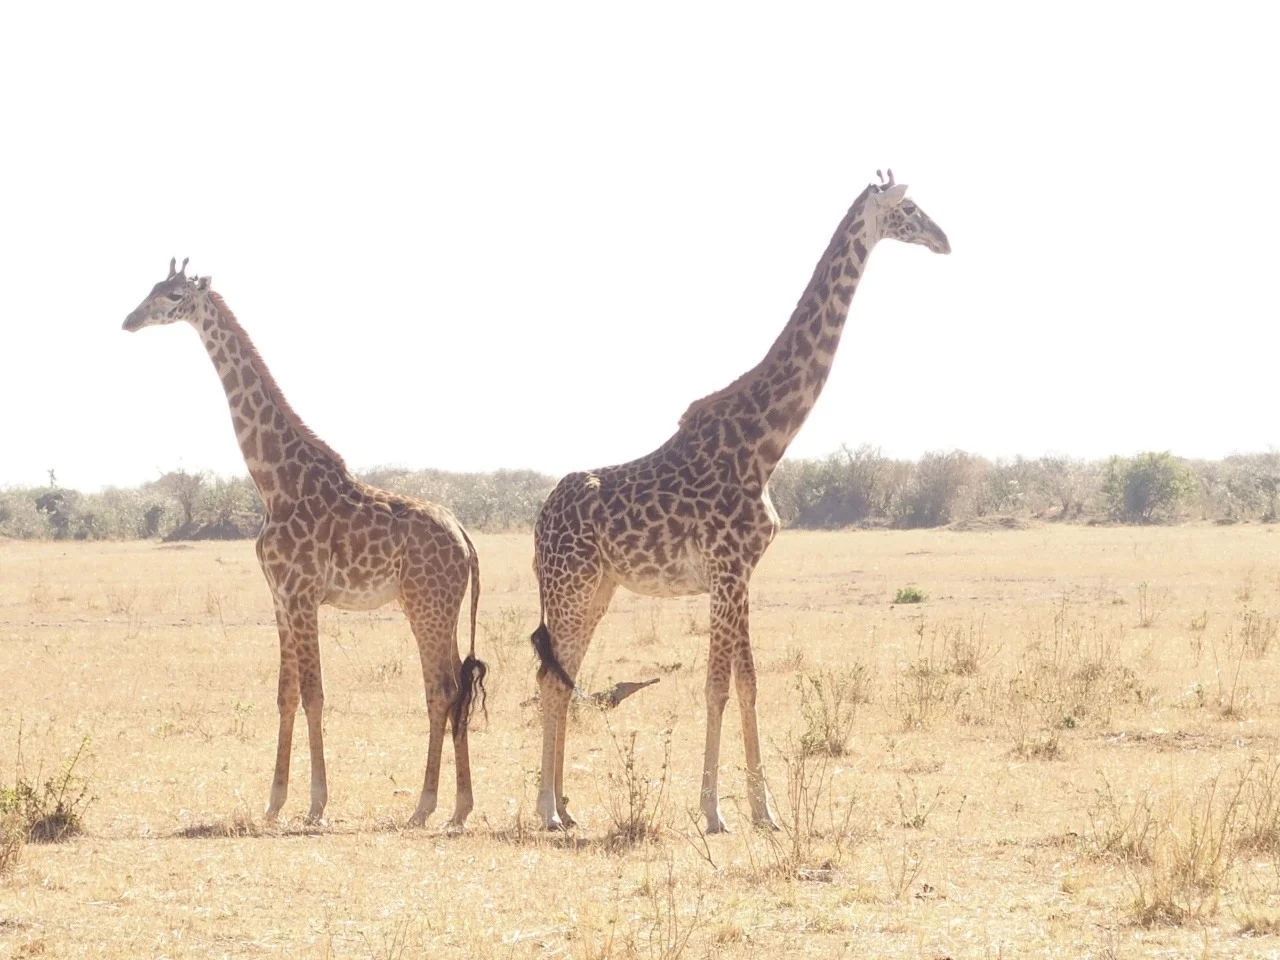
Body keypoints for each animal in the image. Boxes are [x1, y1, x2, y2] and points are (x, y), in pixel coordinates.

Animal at [123, 260, 487, 827]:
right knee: (455, 688)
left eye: (175, 295)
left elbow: (314, 694)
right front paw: (273, 801)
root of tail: (467, 542)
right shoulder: (279, 596)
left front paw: (316, 804)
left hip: (425, 605)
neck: (274, 482)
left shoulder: (302, 594)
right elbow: (285, 694)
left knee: (441, 689)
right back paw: (459, 808)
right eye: (151, 288)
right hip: (439, 608)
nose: (129, 321)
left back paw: (424, 806)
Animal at [530, 172, 950, 832]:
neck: (765, 444)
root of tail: (538, 520)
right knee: (552, 677)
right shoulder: (726, 571)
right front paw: (713, 811)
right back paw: (546, 810)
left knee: (562, 674)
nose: (944, 239)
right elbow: (716, 686)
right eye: (907, 209)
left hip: (596, 588)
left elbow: (749, 683)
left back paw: (567, 809)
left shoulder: (744, 573)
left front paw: (765, 811)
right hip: (569, 585)